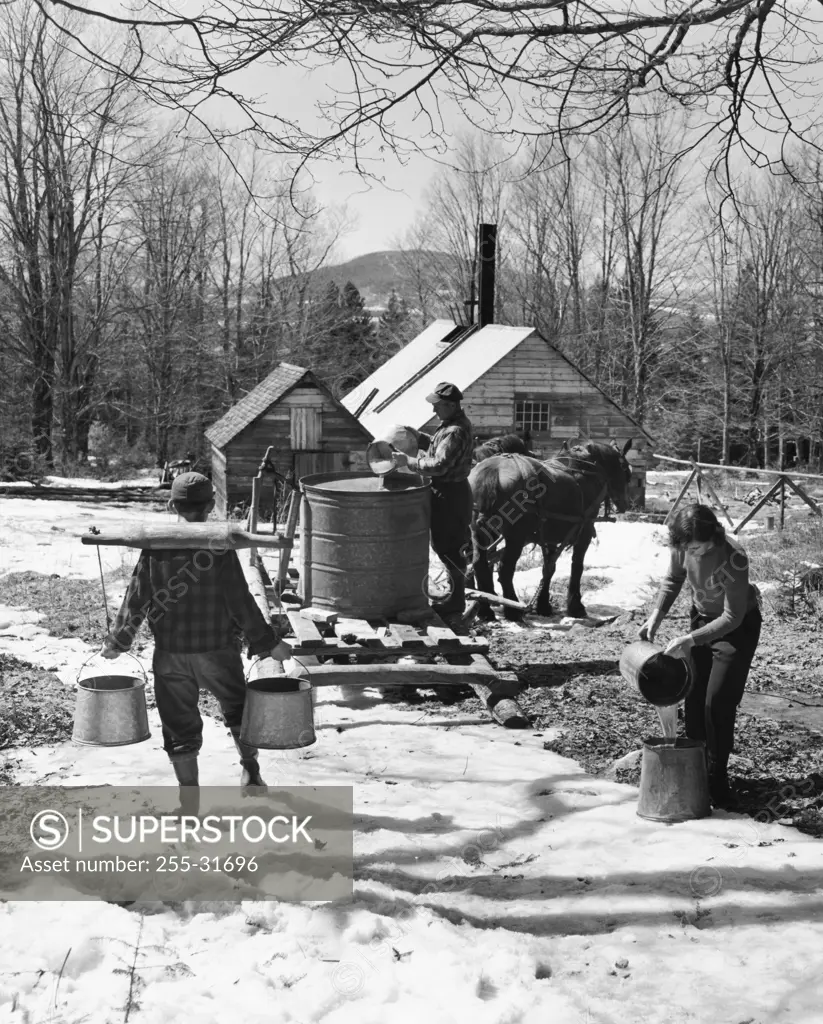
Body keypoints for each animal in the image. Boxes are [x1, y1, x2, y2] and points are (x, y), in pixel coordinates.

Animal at [466, 438, 634, 614]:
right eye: (626, 471)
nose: (625, 504)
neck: (587, 471)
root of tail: (493, 470)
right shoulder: (584, 532)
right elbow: (577, 567)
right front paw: (575, 606)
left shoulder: (550, 535)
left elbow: (548, 568)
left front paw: (543, 605)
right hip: (515, 535)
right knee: (504, 570)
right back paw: (513, 611)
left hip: (479, 530)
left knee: (478, 564)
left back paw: (485, 609)